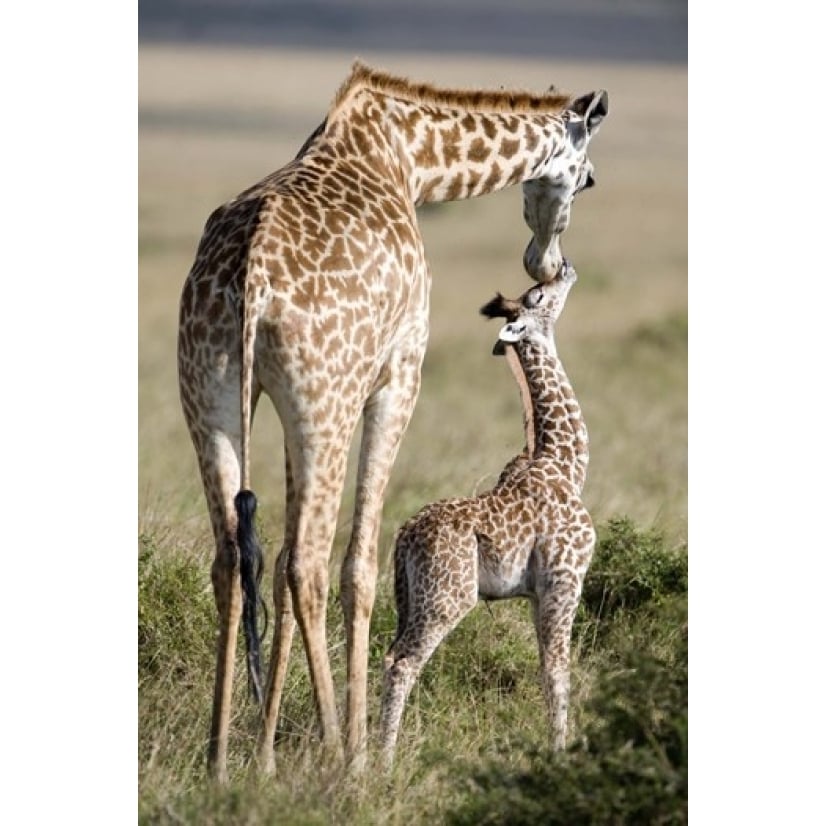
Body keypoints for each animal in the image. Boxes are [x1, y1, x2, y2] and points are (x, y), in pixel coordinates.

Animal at [376, 262, 596, 768]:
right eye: (537, 295)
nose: (567, 267)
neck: (567, 463)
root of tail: (404, 536)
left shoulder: (537, 592)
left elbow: (544, 665)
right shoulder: (565, 579)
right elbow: (558, 669)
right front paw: (561, 754)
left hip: (408, 597)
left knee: (388, 655)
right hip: (447, 597)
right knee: (402, 663)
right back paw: (380, 762)